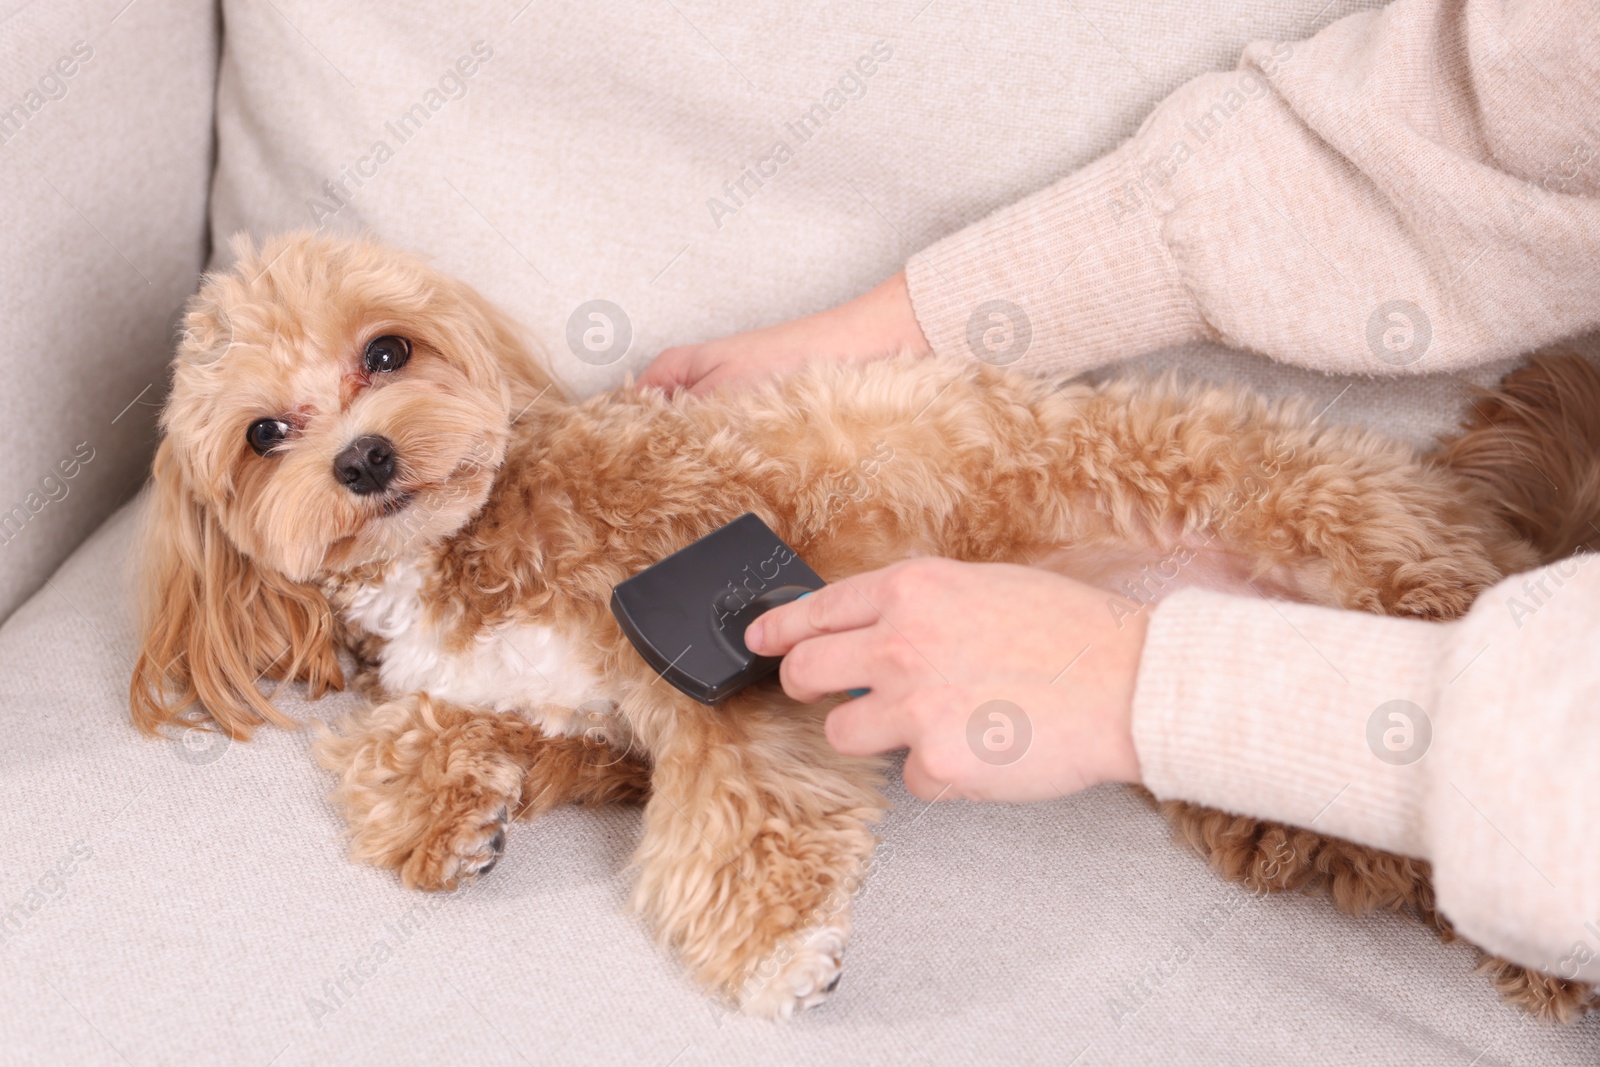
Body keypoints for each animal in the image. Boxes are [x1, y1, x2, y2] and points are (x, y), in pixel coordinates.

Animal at [131, 231, 1600, 1017]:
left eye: (387, 351)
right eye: (264, 435)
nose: (365, 460)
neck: (464, 542)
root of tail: (1482, 510)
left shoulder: (718, 667)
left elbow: (735, 809)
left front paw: (778, 951)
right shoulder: (582, 716)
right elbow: (423, 737)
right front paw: (451, 807)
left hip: (1352, 539)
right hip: (1248, 787)